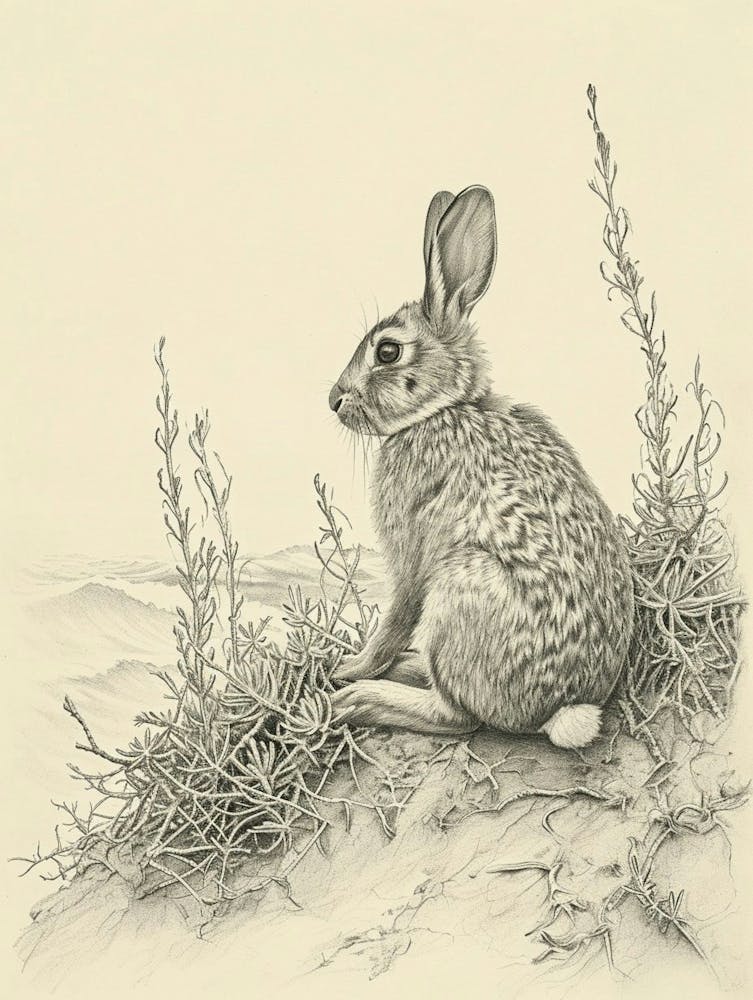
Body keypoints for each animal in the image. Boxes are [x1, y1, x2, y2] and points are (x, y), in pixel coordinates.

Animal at [327, 185, 634, 749]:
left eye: (387, 351)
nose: (333, 400)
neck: (442, 410)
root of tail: (561, 710)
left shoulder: (414, 556)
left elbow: (395, 616)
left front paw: (351, 668)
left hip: (459, 593)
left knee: (458, 717)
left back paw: (362, 699)